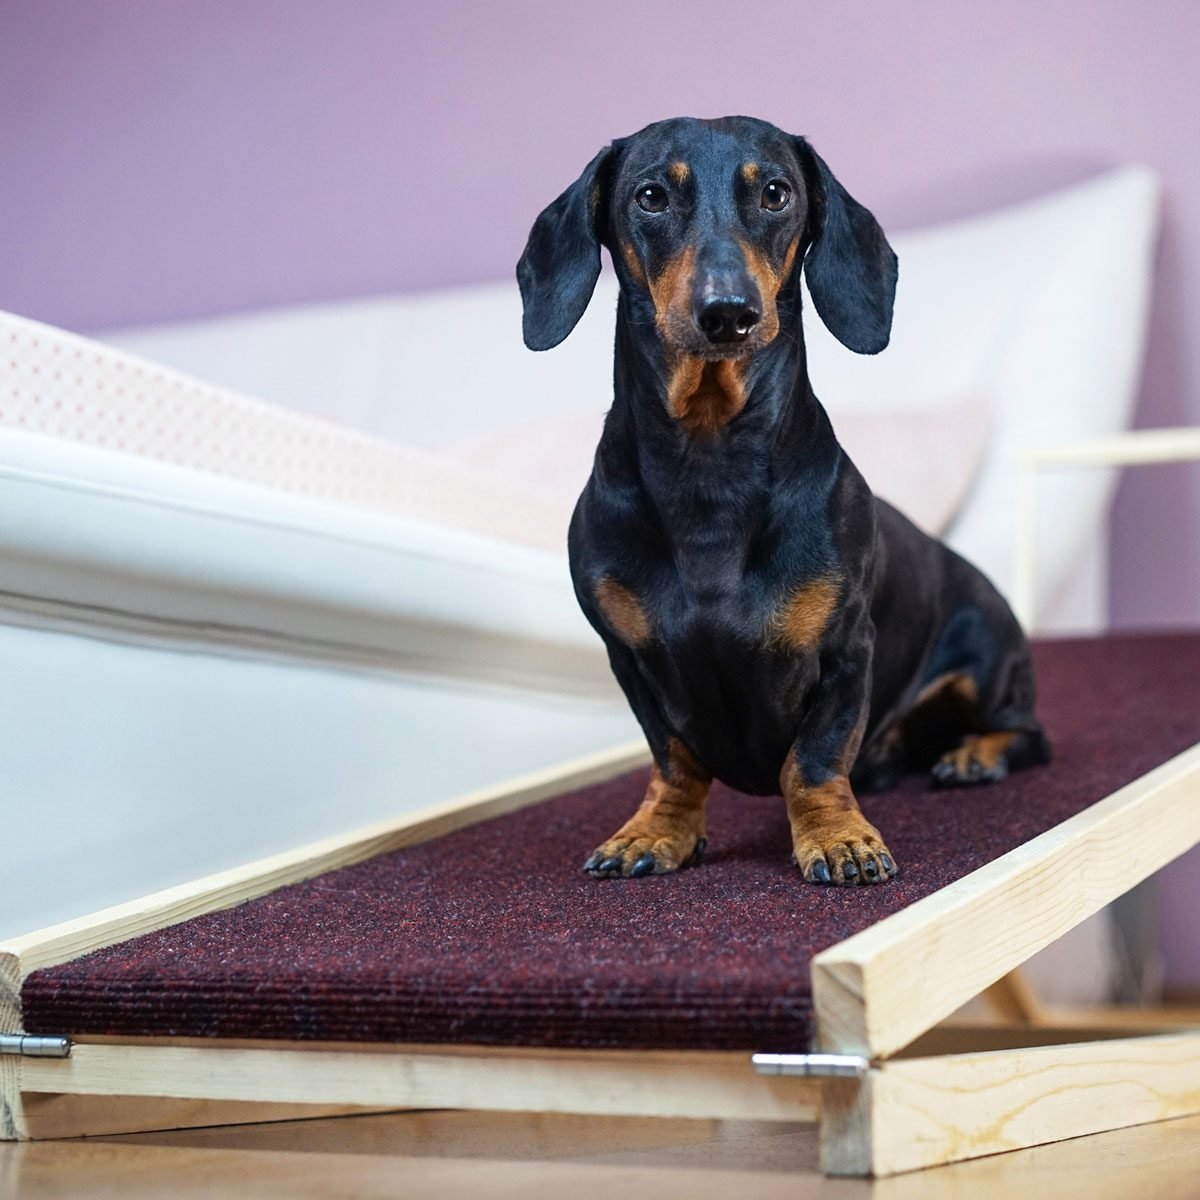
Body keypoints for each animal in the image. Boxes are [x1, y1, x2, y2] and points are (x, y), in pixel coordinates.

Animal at [516, 117, 1051, 888]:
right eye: (650, 196)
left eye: (776, 193)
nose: (728, 313)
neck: (710, 460)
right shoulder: (630, 661)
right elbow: (673, 760)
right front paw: (656, 830)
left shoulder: (846, 653)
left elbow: (814, 760)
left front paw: (838, 838)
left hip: (987, 663)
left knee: (1027, 733)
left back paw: (975, 755)